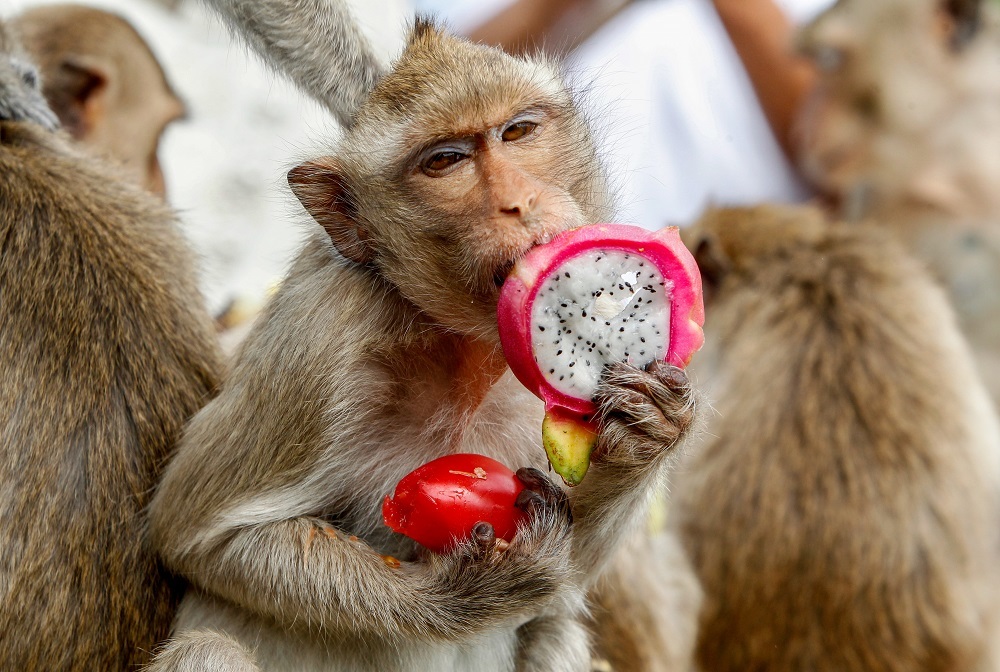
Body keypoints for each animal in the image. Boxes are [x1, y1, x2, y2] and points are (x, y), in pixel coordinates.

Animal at [148, 6, 700, 672]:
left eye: (517, 131)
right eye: (444, 162)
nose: (520, 201)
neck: (461, 349)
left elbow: (567, 585)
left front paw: (650, 426)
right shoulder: (317, 349)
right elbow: (200, 535)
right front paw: (461, 592)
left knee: (555, 632)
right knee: (209, 648)